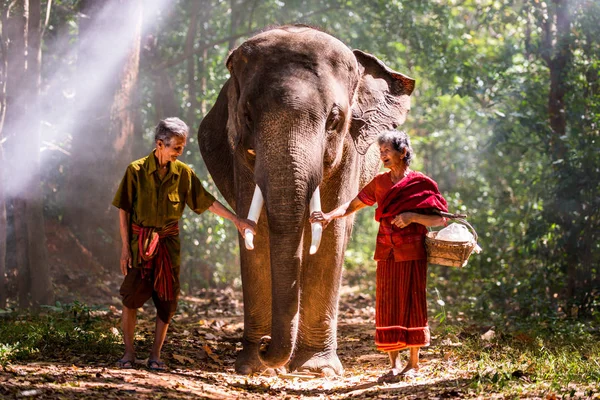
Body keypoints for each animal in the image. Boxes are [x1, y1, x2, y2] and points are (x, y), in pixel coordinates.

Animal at [199, 25, 414, 376]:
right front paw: (254, 367)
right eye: (246, 116)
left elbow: (330, 234)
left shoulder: (349, 150)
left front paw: (316, 368)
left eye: (333, 120)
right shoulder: (239, 155)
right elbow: (257, 231)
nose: (265, 345)